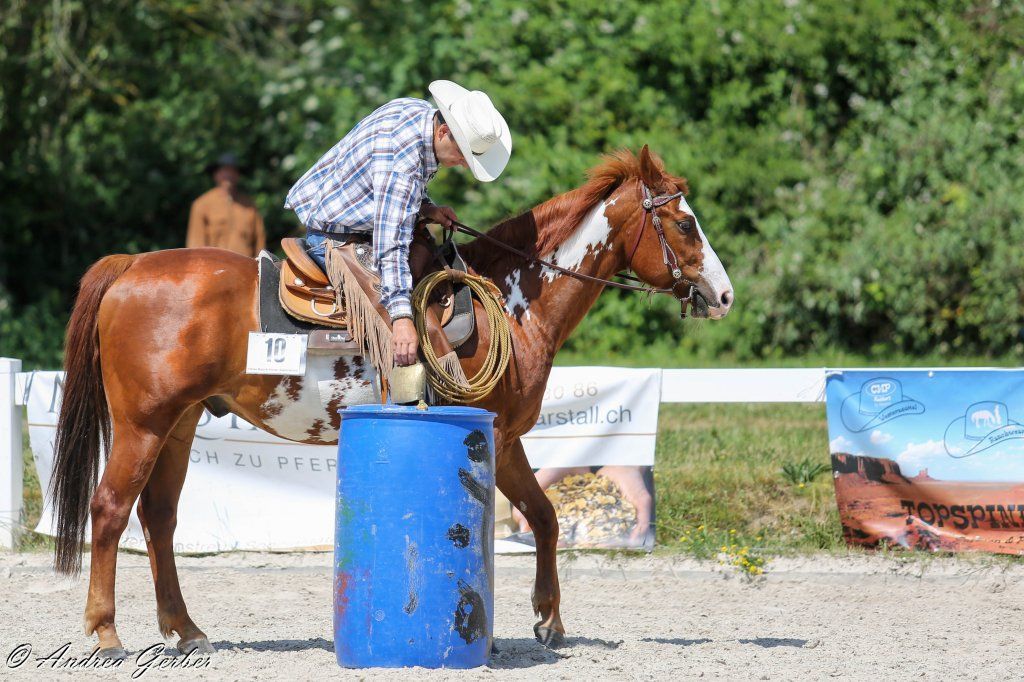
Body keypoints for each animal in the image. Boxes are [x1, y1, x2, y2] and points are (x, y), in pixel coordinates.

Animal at [50, 145, 733, 657]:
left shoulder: (503, 437)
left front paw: (548, 620)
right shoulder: (495, 435)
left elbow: (544, 517)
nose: (723, 295)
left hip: (181, 423)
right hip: (143, 423)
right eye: (684, 224)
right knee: (110, 509)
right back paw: (106, 634)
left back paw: (186, 631)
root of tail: (131, 266)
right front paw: (521, 624)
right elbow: (514, 523)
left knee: (159, 518)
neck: (511, 299)